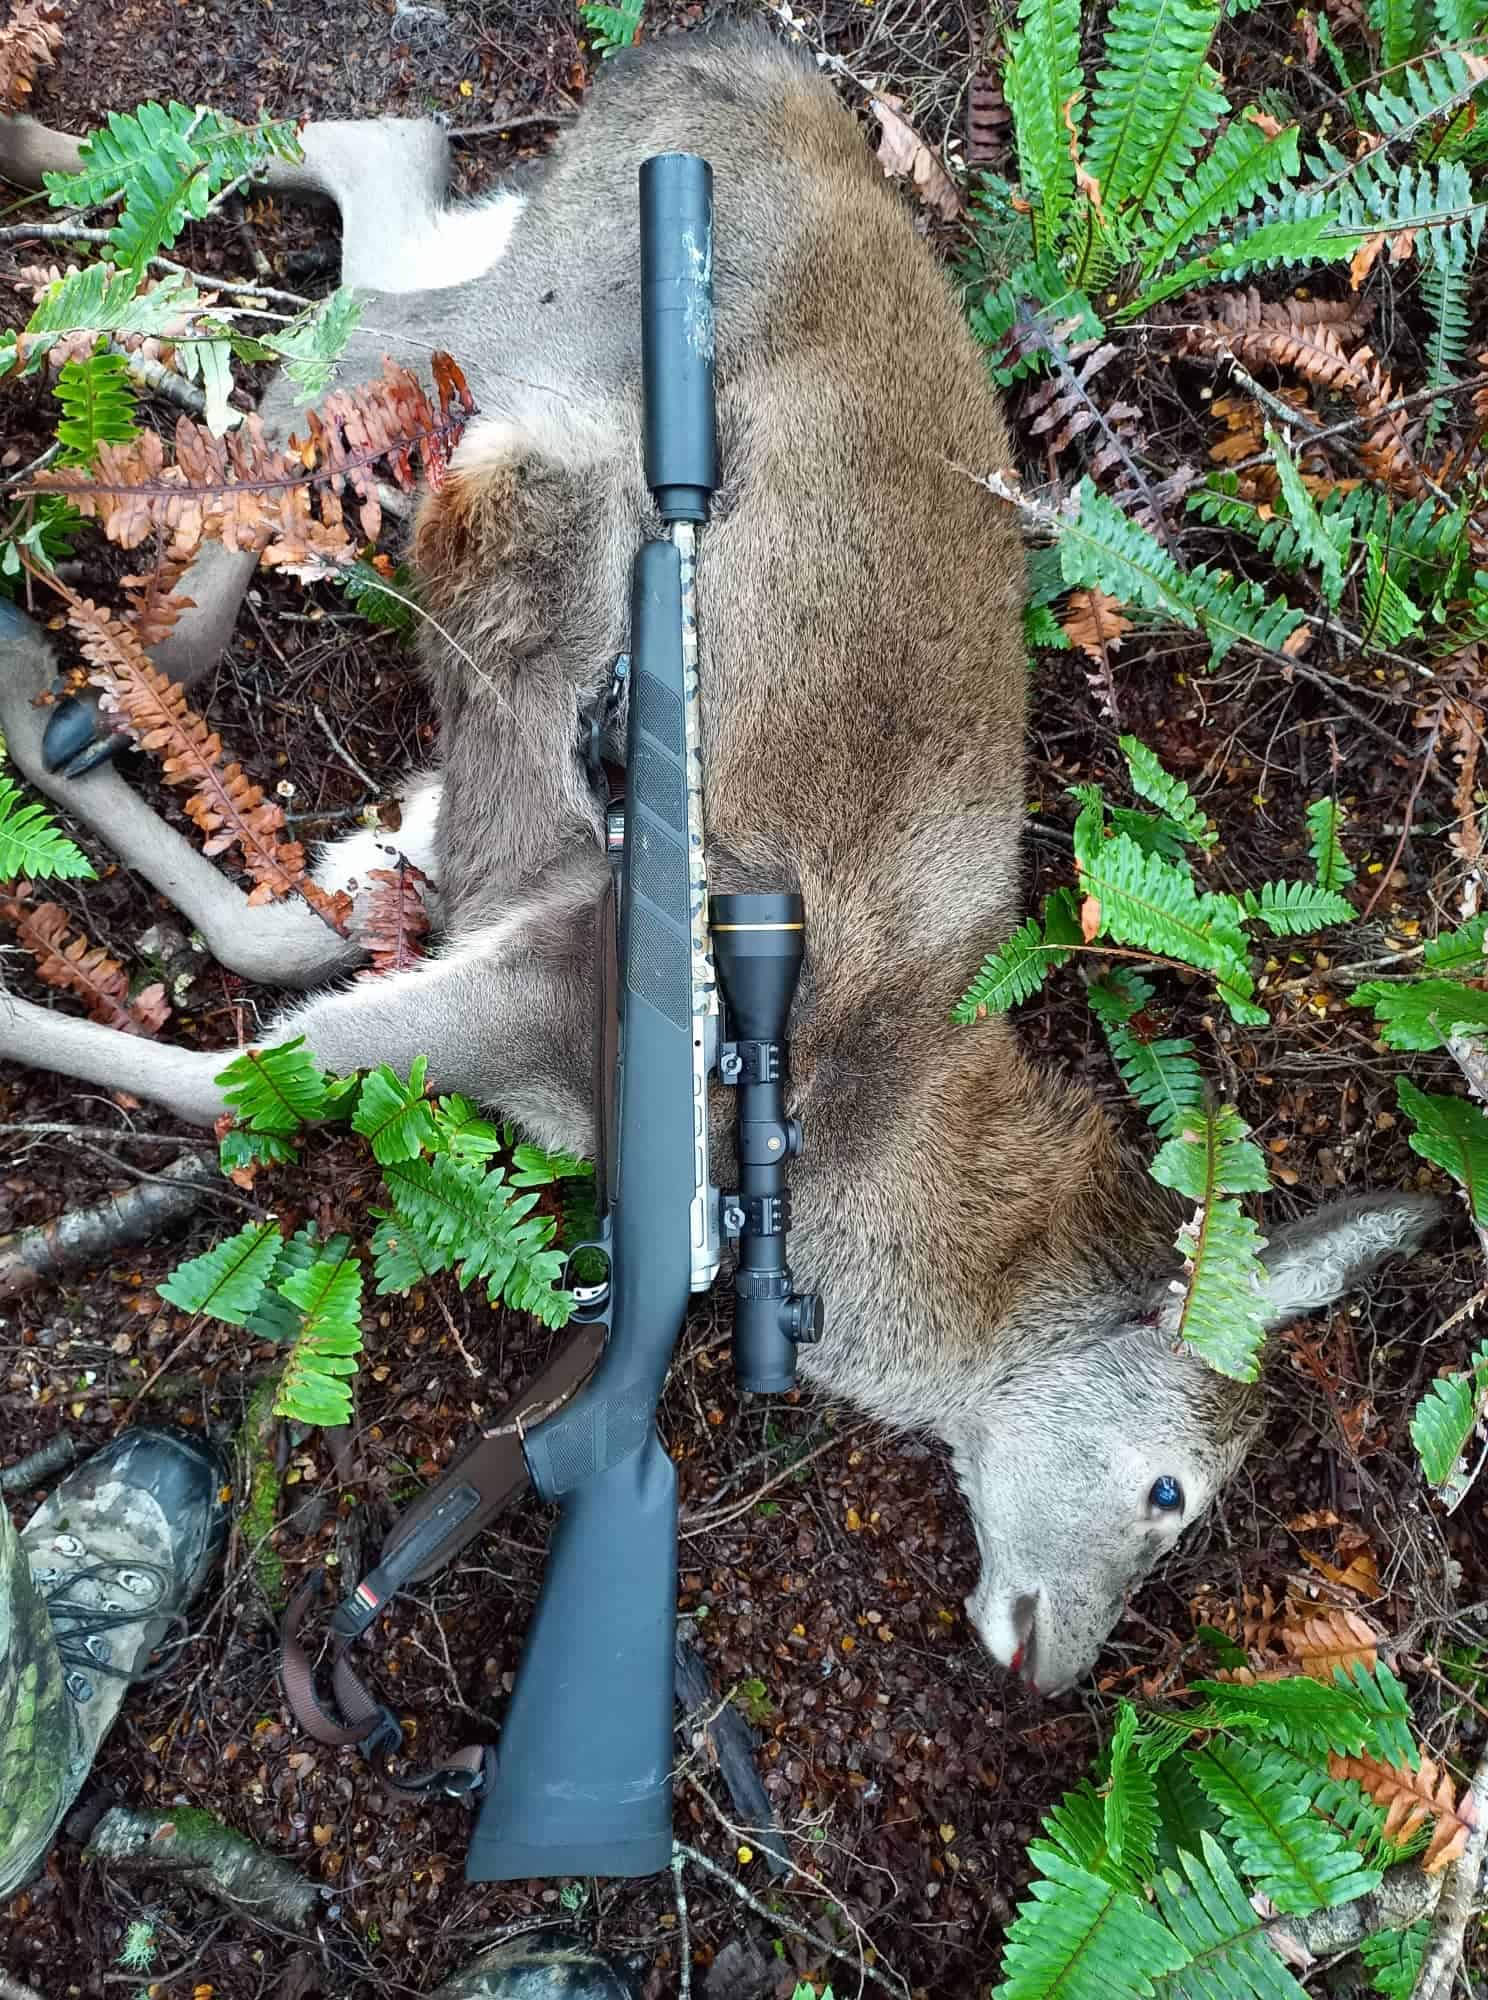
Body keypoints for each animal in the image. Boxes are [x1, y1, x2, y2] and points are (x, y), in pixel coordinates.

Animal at [0, 25, 1441, 1695]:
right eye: (1173, 1494)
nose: (1053, 1669)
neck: (869, 1179)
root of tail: (743, 52)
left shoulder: (494, 872)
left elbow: (279, 944)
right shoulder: (549, 953)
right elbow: (231, 1069)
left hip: (515, 300)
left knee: (382, 185)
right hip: (533, 344)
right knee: (330, 340)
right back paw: (124, 631)